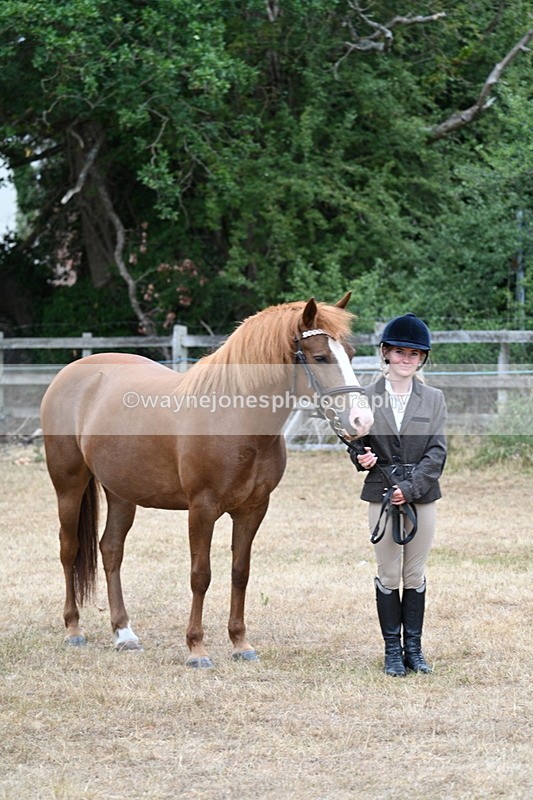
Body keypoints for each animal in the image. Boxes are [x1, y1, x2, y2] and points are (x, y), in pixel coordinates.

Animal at [40, 293, 373, 667]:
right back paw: (73, 629)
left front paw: (240, 643)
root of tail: (73, 372)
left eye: (351, 354)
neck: (235, 419)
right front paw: (196, 648)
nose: (361, 420)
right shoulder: (202, 509)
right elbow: (200, 575)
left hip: (121, 492)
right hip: (68, 484)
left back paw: (124, 634)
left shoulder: (253, 509)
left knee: (111, 550)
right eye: (320, 357)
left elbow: (240, 572)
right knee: (69, 549)